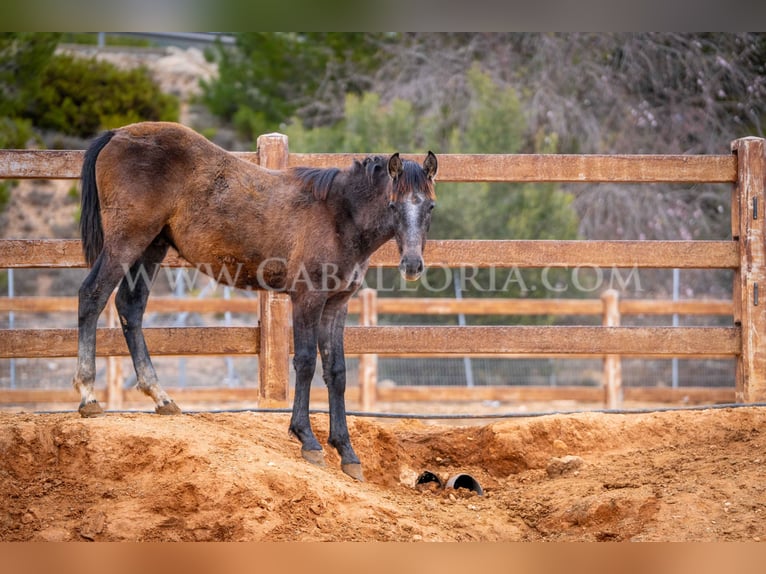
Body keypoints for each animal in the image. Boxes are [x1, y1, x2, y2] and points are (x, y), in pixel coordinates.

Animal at [76, 121, 440, 482]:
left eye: (430, 207)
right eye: (393, 205)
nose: (412, 265)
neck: (338, 215)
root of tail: (119, 134)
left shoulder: (336, 305)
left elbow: (336, 371)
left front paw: (347, 452)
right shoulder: (307, 299)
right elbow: (305, 363)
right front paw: (307, 439)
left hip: (152, 246)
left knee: (130, 306)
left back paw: (161, 398)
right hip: (126, 242)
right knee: (92, 296)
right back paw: (88, 395)